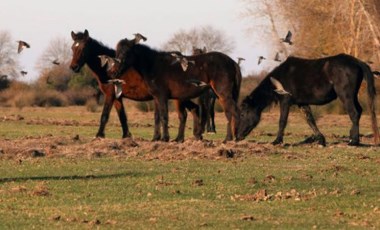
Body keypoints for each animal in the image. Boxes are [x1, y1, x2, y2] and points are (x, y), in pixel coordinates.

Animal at [70, 30, 208, 142]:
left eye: (83, 47)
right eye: (72, 47)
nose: (73, 67)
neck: (108, 67)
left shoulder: (110, 95)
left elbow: (104, 115)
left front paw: (99, 135)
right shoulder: (118, 97)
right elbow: (122, 117)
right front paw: (126, 136)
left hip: (178, 98)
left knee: (184, 114)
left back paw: (183, 138)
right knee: (194, 109)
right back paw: (196, 135)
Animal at [111, 39, 240, 142]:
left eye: (126, 52)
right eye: (117, 51)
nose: (114, 71)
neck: (154, 66)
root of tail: (232, 62)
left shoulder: (162, 97)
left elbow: (164, 116)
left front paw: (164, 138)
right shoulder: (156, 98)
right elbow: (157, 117)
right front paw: (156, 138)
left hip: (223, 94)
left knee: (231, 112)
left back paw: (229, 138)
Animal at [236, 53, 378, 146]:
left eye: (242, 114)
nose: (237, 137)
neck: (279, 80)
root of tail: (357, 62)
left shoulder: (285, 101)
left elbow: (282, 121)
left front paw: (277, 141)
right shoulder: (302, 103)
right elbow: (310, 120)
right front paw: (321, 140)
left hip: (346, 96)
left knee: (354, 113)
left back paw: (353, 141)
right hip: (352, 96)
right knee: (358, 111)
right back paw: (353, 138)